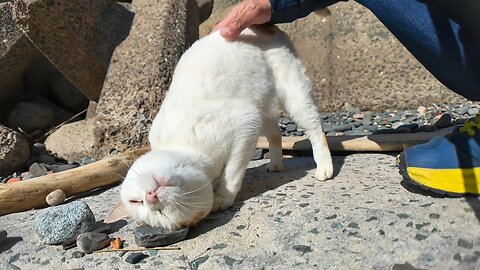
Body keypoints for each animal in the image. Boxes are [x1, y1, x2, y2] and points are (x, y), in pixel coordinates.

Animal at [119, 25, 334, 230]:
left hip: (292, 94)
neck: (187, 151)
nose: (151, 197)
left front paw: (224, 196)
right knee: (275, 133)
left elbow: (232, 171)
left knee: (316, 129)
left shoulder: (246, 124)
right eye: (160, 213)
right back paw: (275, 163)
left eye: (136, 201)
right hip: (262, 105)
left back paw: (324, 167)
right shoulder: (252, 119)